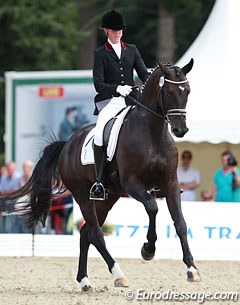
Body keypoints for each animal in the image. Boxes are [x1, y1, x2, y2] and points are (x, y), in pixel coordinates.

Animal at [1, 57, 201, 290]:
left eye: (188, 91)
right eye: (168, 91)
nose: (180, 130)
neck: (152, 132)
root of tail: (67, 144)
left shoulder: (170, 183)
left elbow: (180, 223)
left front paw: (192, 268)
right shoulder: (132, 183)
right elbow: (152, 207)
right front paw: (148, 249)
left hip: (108, 197)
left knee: (86, 232)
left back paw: (84, 280)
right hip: (82, 195)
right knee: (96, 233)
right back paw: (118, 274)